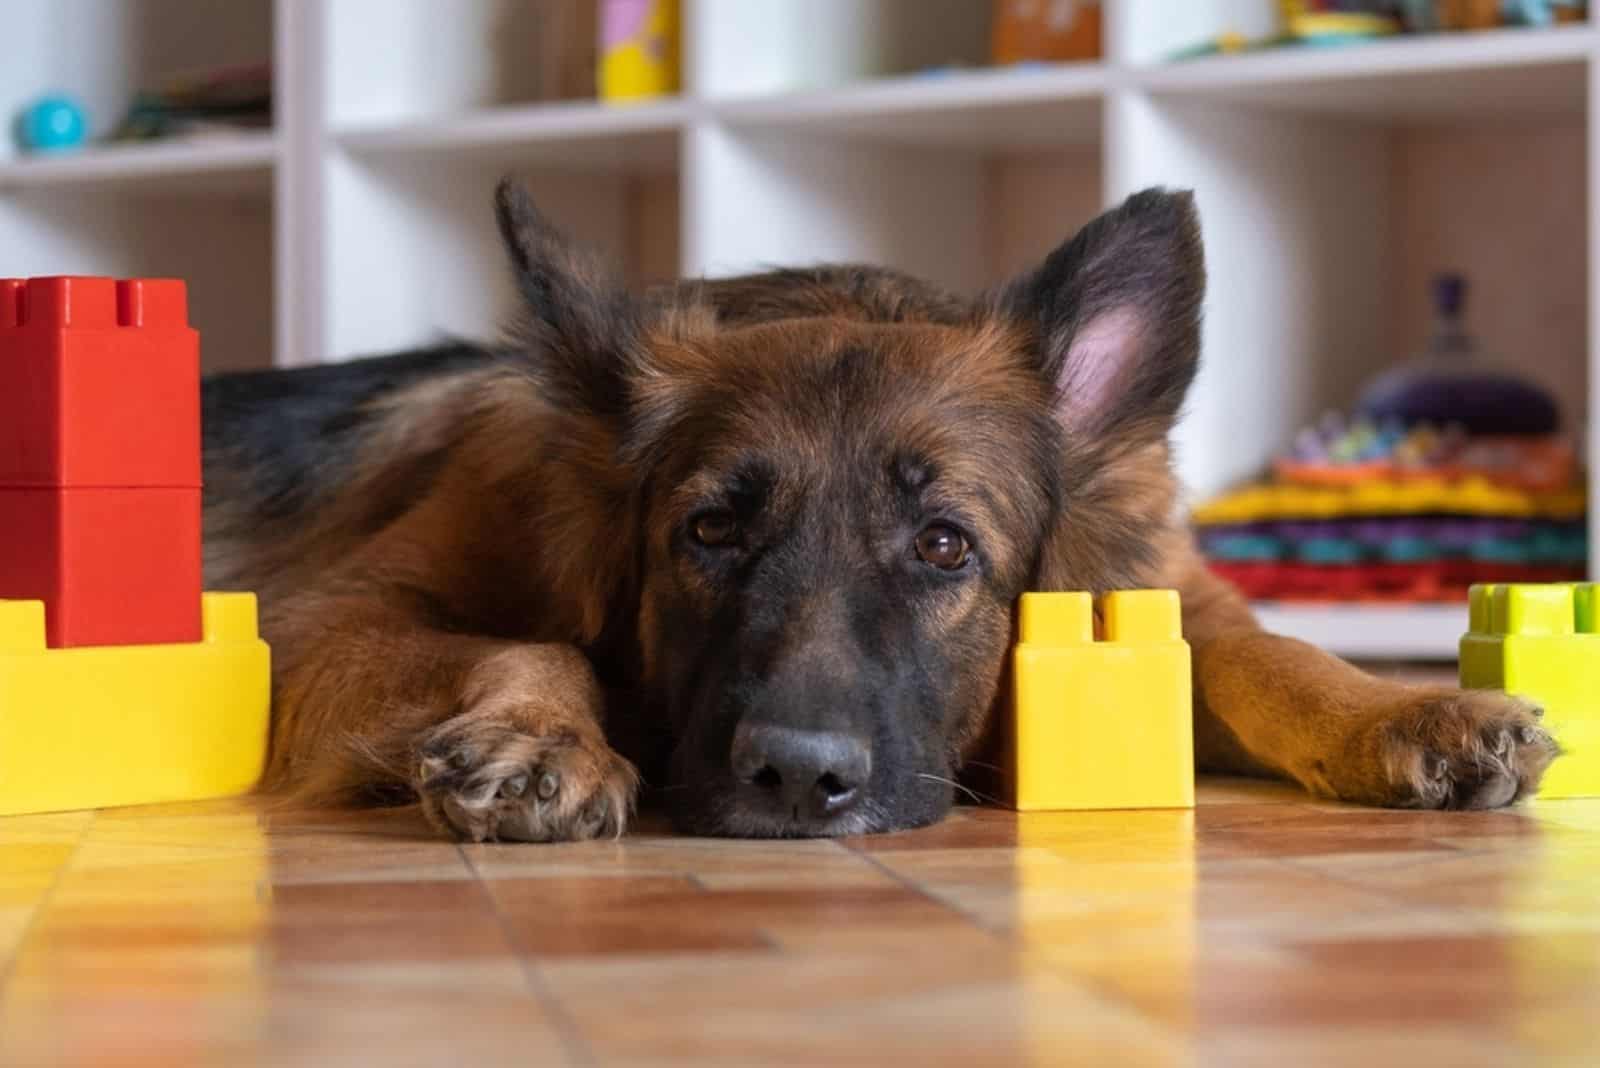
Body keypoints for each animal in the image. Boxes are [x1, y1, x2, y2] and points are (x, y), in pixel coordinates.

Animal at [203, 183, 1561, 844]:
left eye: (944, 546)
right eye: (709, 532)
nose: (798, 781)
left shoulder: (1164, 601)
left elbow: (1266, 654)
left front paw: (1406, 711)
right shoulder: (330, 617)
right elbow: (528, 642)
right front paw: (540, 738)